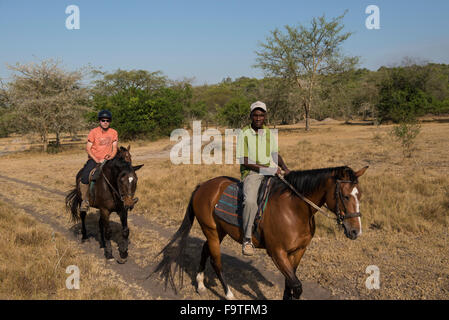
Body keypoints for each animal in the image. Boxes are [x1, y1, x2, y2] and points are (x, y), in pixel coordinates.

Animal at [154, 166, 368, 298]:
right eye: (345, 196)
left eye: (360, 195)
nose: (356, 231)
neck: (294, 209)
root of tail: (202, 186)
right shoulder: (277, 252)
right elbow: (296, 286)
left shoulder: (298, 251)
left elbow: (290, 283)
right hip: (212, 231)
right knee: (216, 262)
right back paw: (229, 294)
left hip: (219, 231)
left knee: (205, 250)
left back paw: (200, 285)